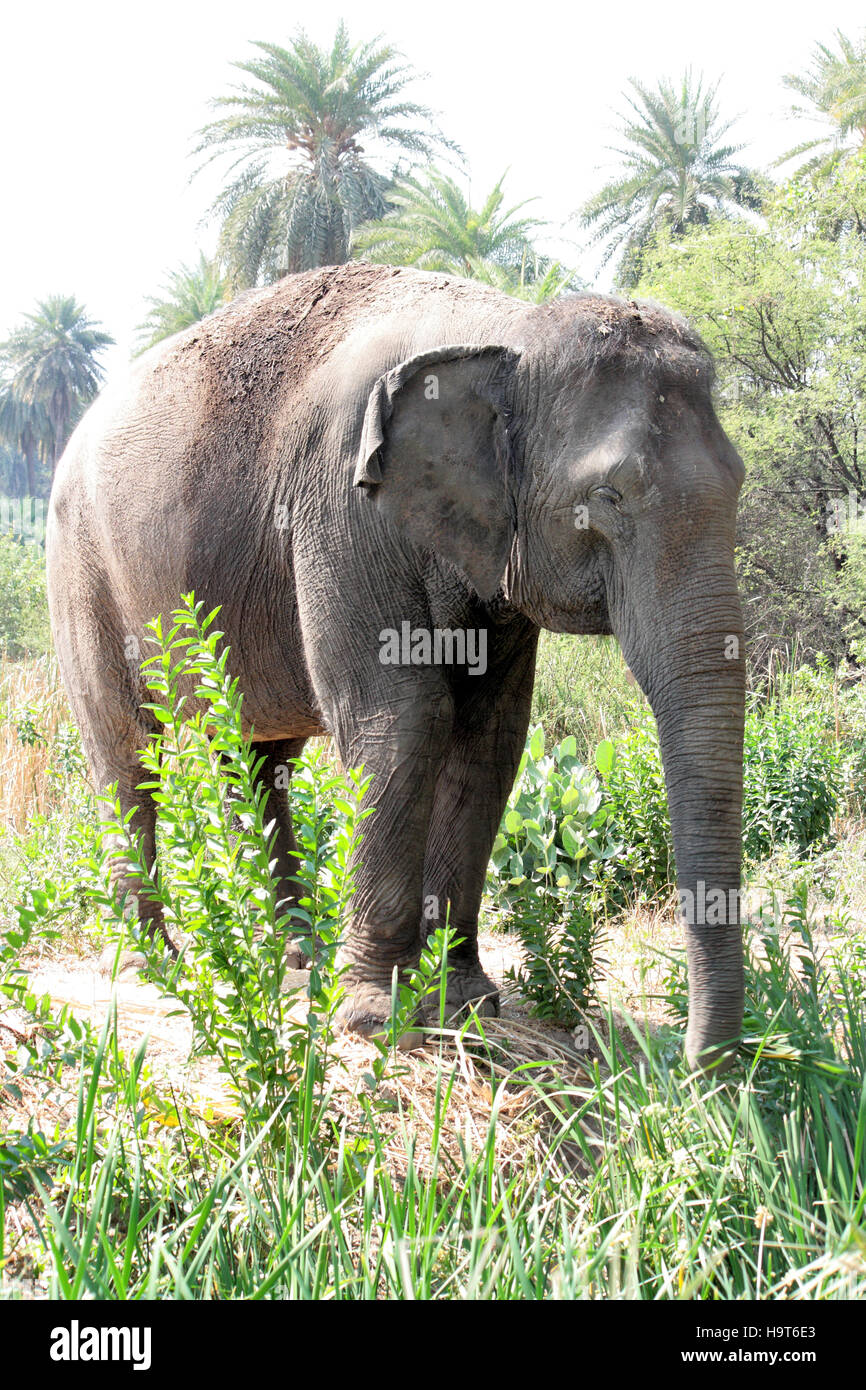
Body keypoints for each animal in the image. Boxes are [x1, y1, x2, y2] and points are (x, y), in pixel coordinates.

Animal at [45, 265, 745, 1073]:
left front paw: (464, 1001)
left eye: (740, 481)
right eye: (607, 498)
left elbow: (491, 736)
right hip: (80, 576)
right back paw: (152, 964)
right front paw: (379, 1019)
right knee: (126, 758)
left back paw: (295, 957)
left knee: (256, 760)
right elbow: (404, 719)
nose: (697, 1071)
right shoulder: (342, 505)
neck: (504, 329)